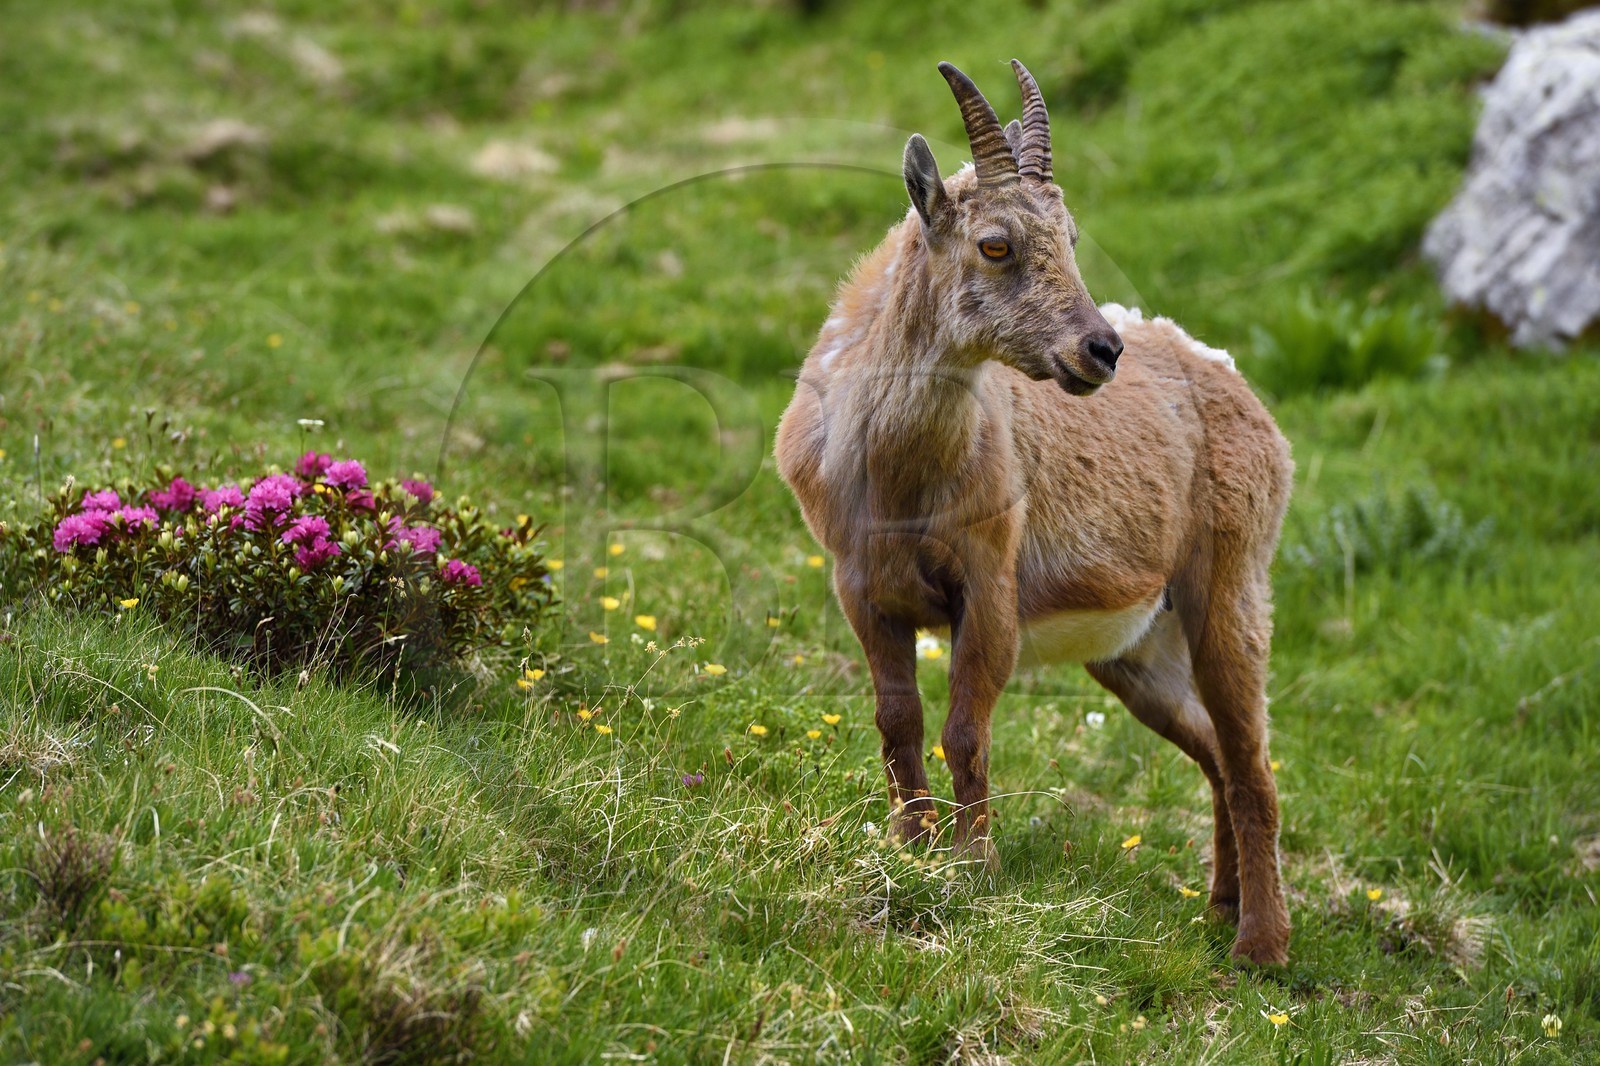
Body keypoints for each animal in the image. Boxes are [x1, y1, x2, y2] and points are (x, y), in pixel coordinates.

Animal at [774, 61, 1294, 965]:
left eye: (1073, 238)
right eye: (996, 243)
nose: (1101, 349)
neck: (901, 477)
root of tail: (1236, 384)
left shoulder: (988, 584)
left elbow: (965, 729)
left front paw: (973, 865)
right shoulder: (862, 587)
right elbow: (897, 720)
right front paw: (909, 847)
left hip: (1229, 590)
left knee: (1253, 765)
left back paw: (1260, 946)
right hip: (1138, 653)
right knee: (1216, 755)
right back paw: (1220, 905)